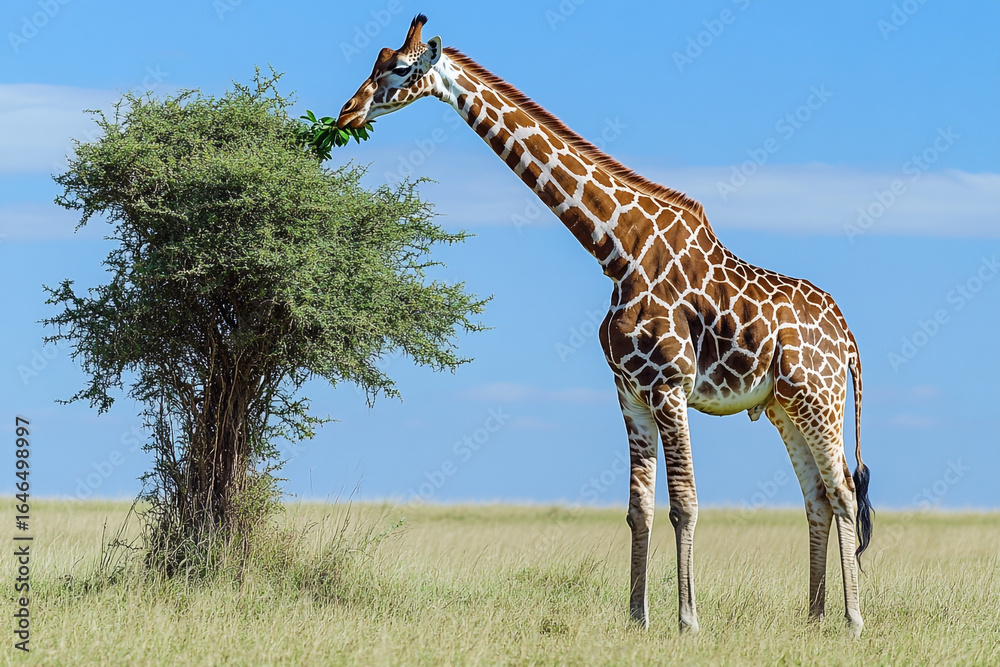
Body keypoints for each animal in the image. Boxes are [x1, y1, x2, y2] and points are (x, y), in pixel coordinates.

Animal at [337, 15, 873, 636]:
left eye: (399, 69)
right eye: (375, 62)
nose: (347, 113)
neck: (618, 249)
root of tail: (849, 338)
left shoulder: (669, 386)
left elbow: (684, 502)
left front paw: (688, 620)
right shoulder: (629, 390)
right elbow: (639, 507)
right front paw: (638, 616)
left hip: (820, 399)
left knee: (841, 492)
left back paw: (853, 620)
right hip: (785, 406)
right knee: (816, 497)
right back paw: (813, 618)